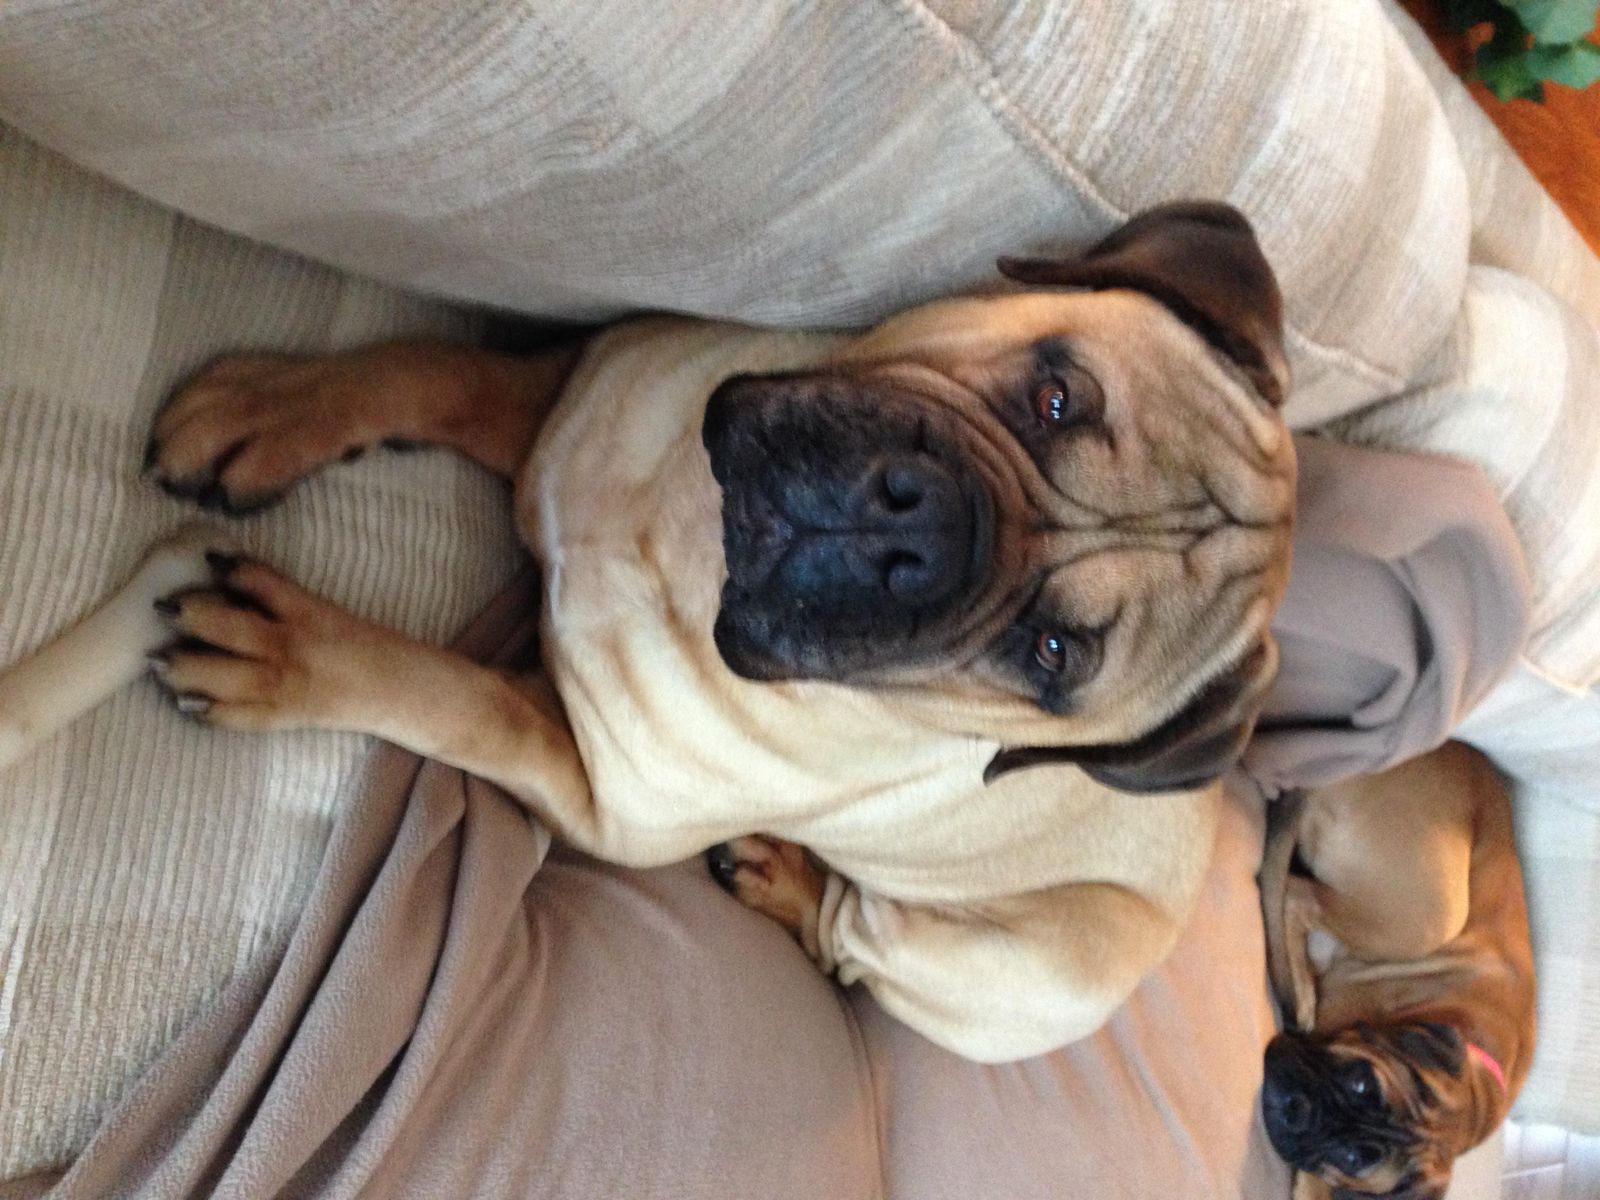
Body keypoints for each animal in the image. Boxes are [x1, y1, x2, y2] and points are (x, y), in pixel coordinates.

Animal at [2, 202, 1296, 1062]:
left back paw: (785, 878)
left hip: (1025, 972)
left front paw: (287, 650)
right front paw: (269, 406)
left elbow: (454, 693)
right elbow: (426, 367)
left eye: (1051, 655)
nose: (920, 535)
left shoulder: (589, 791)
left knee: (857, 939)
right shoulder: (567, 388)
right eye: (1055, 395)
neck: (685, 535)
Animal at [1259, 741, 1536, 1199]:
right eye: (1362, 1083)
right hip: (1434, 914)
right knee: (1296, 895)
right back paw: (1301, 992)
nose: (1296, 1107)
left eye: (1355, 1159)